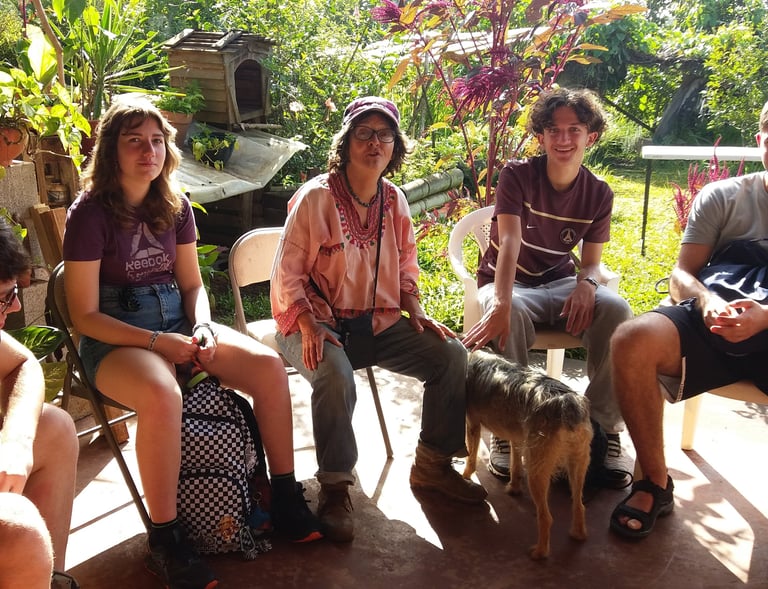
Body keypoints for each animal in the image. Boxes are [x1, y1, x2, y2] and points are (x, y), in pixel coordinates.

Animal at [463, 349, 592, 560]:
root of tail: (567, 403)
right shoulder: (516, 440)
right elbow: (515, 467)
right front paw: (514, 489)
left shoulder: (472, 425)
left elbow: (471, 460)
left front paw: (464, 477)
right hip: (578, 467)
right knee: (579, 505)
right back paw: (578, 535)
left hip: (536, 473)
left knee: (546, 517)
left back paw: (540, 552)